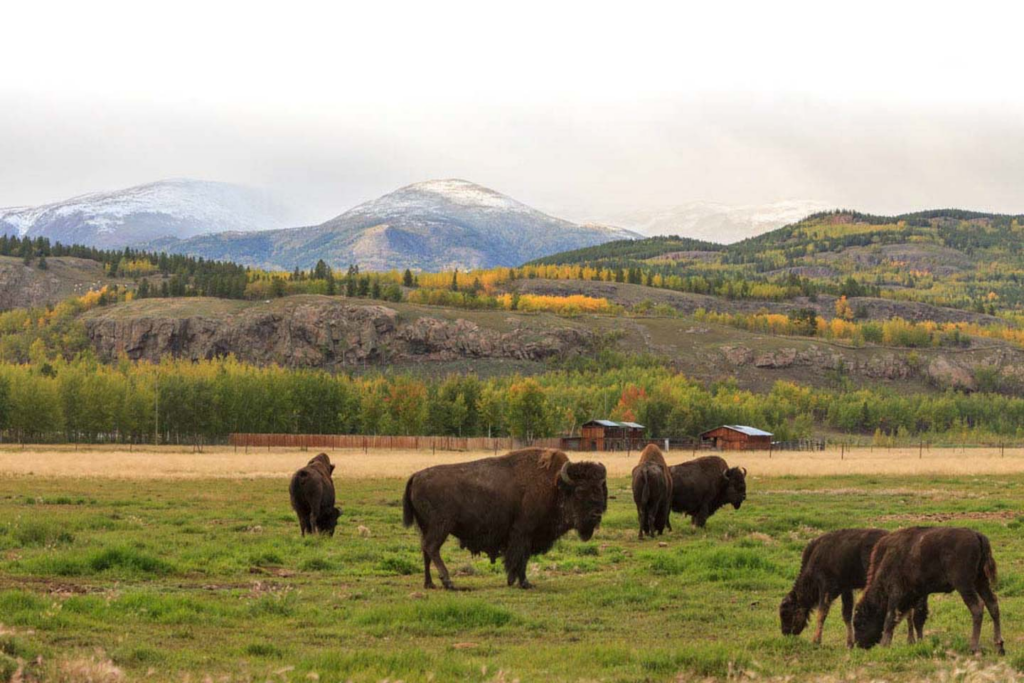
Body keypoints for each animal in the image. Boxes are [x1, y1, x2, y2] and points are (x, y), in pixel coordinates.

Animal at [399, 448, 606, 589]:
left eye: (600, 488)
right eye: (580, 490)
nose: (597, 514)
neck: (555, 485)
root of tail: (416, 476)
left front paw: (515, 581)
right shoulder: (524, 533)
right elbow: (520, 558)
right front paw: (522, 582)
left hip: (426, 527)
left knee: (425, 550)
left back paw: (429, 583)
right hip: (440, 526)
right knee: (432, 548)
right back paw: (448, 582)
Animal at [782, 532, 929, 651]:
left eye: (786, 613)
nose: (785, 633)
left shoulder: (826, 588)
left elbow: (822, 613)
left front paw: (816, 641)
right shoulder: (846, 589)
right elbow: (846, 614)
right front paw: (849, 644)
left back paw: (911, 640)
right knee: (909, 610)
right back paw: (911, 640)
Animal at [851, 528, 1003, 655]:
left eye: (860, 623)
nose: (859, 645)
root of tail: (977, 535)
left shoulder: (895, 593)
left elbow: (890, 618)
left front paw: (885, 645)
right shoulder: (918, 594)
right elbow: (916, 618)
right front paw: (917, 642)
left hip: (964, 584)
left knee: (977, 607)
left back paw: (974, 648)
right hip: (980, 581)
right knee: (992, 604)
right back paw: (999, 646)